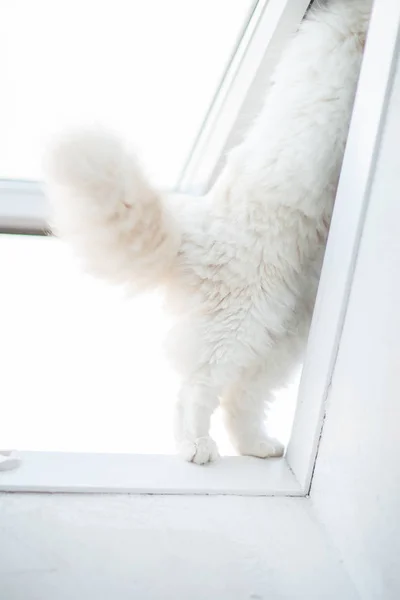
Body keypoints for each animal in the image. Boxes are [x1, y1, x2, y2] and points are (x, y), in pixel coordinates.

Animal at [46, 0, 372, 464]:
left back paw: (258, 447)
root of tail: (194, 230)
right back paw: (196, 447)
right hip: (239, 326)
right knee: (195, 391)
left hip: (279, 336)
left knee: (241, 398)